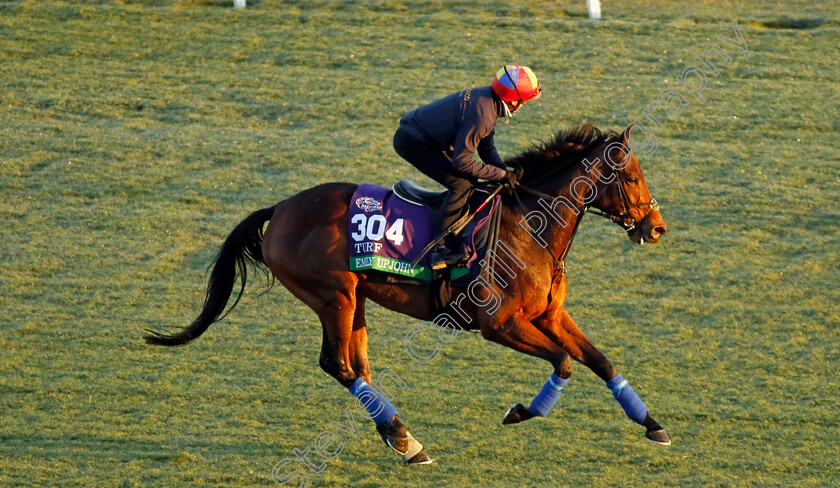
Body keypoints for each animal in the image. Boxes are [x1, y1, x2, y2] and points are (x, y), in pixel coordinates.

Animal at [144, 123, 668, 466]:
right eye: (632, 176)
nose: (656, 227)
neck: (531, 229)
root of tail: (282, 207)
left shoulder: (550, 315)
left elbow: (599, 360)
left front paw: (652, 423)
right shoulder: (499, 324)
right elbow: (563, 362)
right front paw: (521, 412)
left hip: (355, 300)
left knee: (357, 366)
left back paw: (396, 436)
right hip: (333, 296)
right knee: (337, 364)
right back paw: (405, 440)